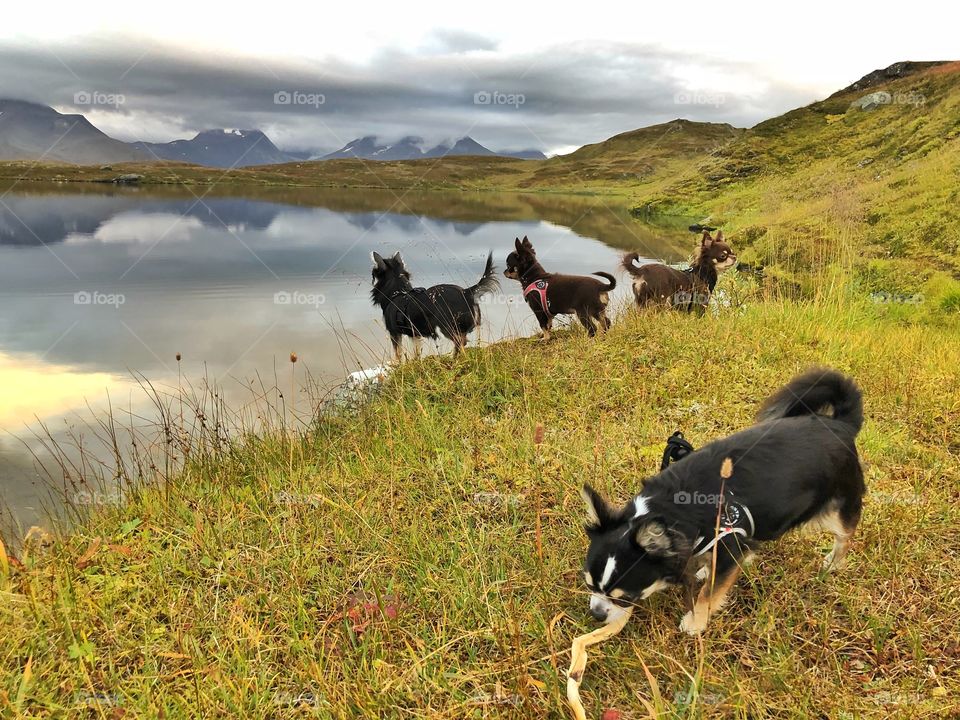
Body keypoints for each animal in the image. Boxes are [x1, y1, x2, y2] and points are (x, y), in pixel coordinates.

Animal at [580, 368, 868, 632]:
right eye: (588, 584)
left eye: (625, 598)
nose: (596, 614)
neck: (674, 507)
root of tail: (841, 424)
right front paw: (705, 572)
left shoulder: (730, 545)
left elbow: (709, 594)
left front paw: (695, 623)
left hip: (841, 505)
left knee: (845, 536)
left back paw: (833, 563)